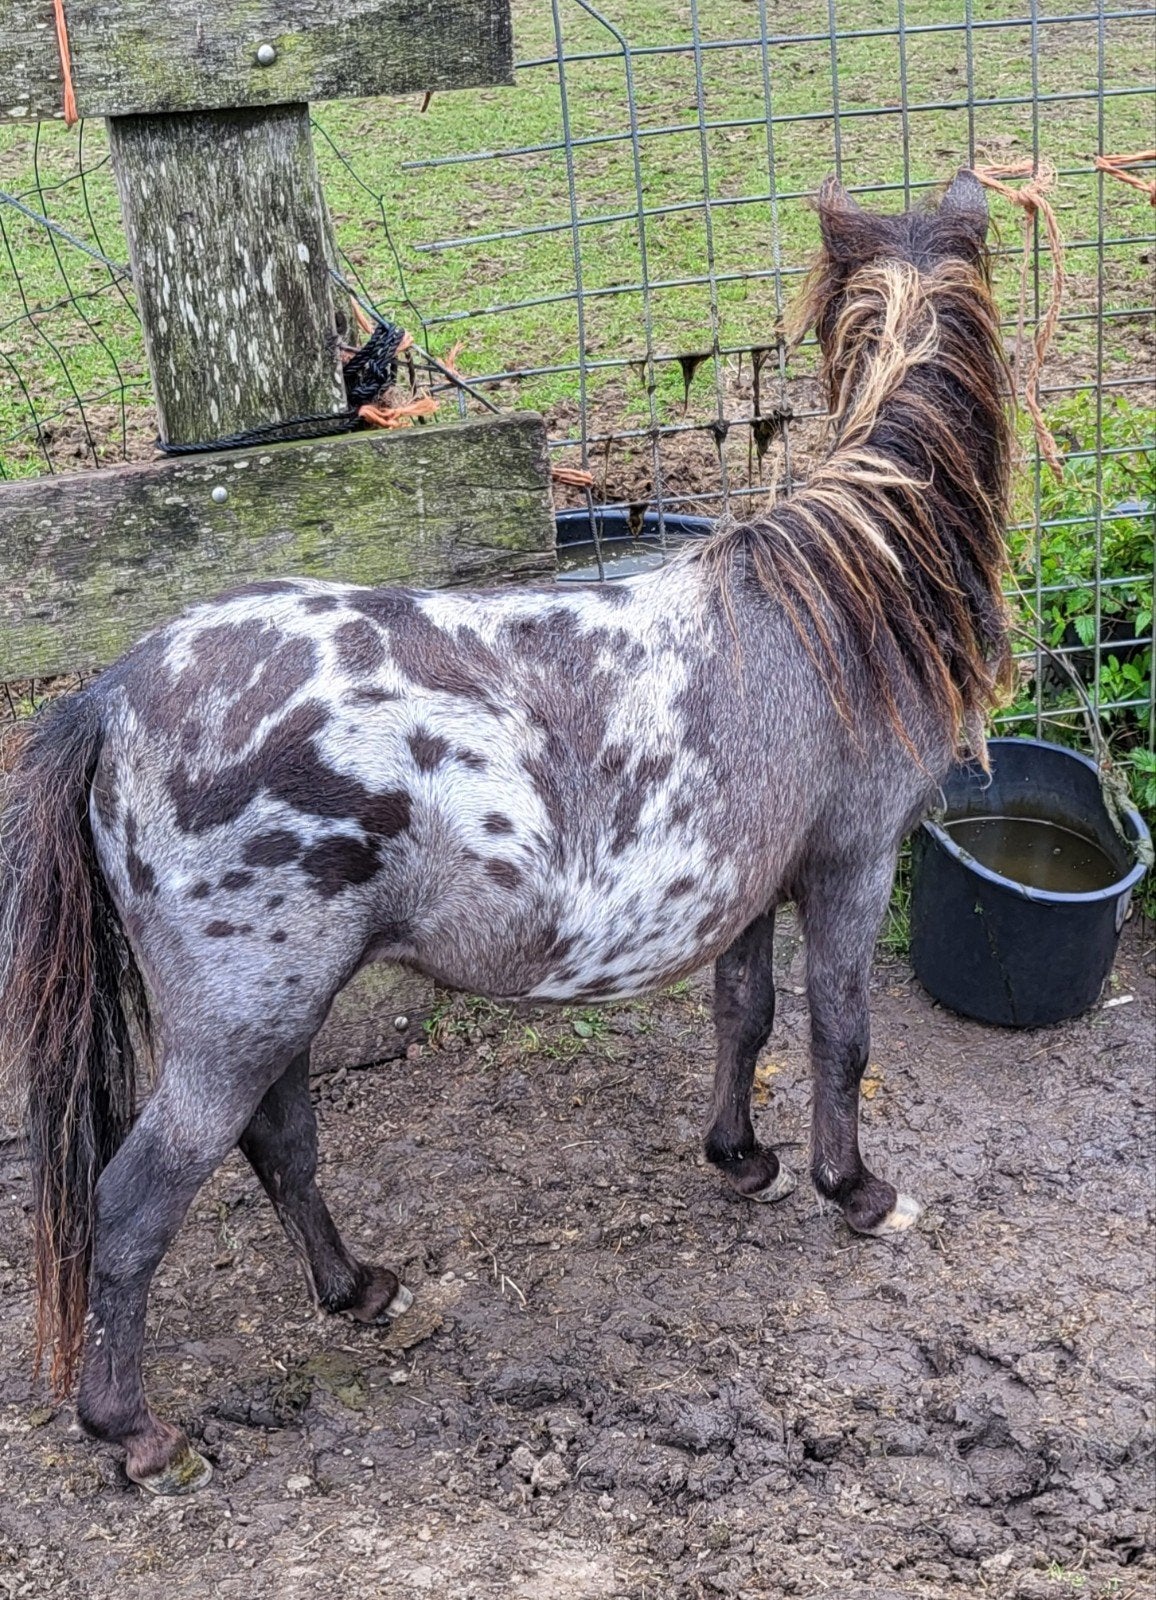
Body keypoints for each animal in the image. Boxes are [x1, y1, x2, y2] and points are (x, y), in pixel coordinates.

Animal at [0, 169, 1013, 1496]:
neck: (836, 606)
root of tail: (112, 693)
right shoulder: (850, 861)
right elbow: (840, 1035)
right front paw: (856, 1190)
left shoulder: (749, 883)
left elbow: (745, 1017)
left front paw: (740, 1158)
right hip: (238, 1020)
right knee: (132, 1206)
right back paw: (133, 1431)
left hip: (272, 1014)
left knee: (281, 1146)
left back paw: (355, 1289)